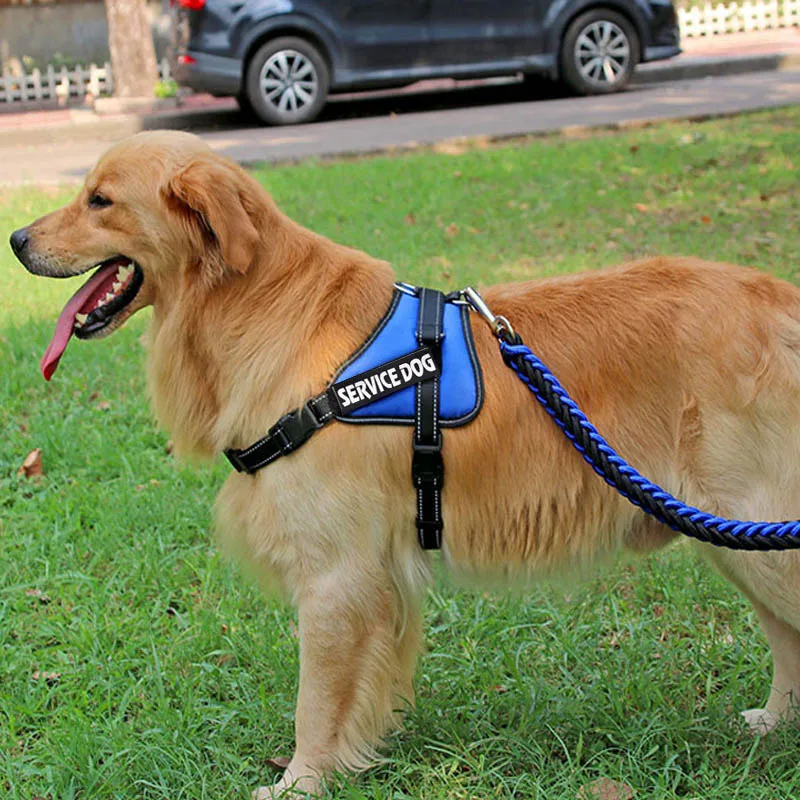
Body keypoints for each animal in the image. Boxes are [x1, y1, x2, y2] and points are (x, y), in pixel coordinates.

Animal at [9, 131, 800, 792]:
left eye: (100, 199)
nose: (15, 238)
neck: (260, 310)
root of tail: (782, 303)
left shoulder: (336, 576)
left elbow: (313, 703)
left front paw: (299, 782)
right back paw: (774, 722)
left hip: (751, 527)